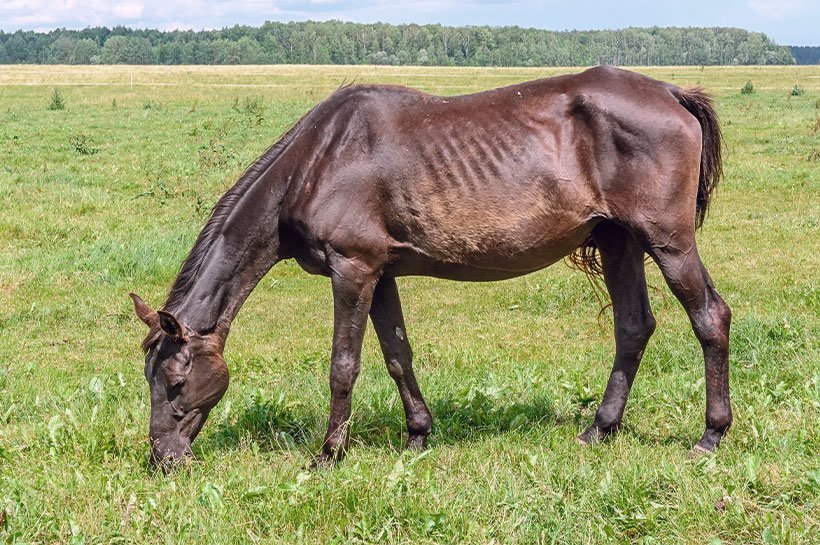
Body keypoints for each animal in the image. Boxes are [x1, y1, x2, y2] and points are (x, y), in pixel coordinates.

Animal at [131, 67, 732, 468]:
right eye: (148, 376)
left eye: (176, 380)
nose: (163, 459)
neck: (318, 160)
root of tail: (672, 93)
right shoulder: (381, 275)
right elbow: (398, 356)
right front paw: (417, 434)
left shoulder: (353, 270)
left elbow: (343, 365)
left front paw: (329, 454)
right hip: (618, 242)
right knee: (633, 327)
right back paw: (600, 429)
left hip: (668, 241)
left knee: (711, 317)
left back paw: (710, 436)